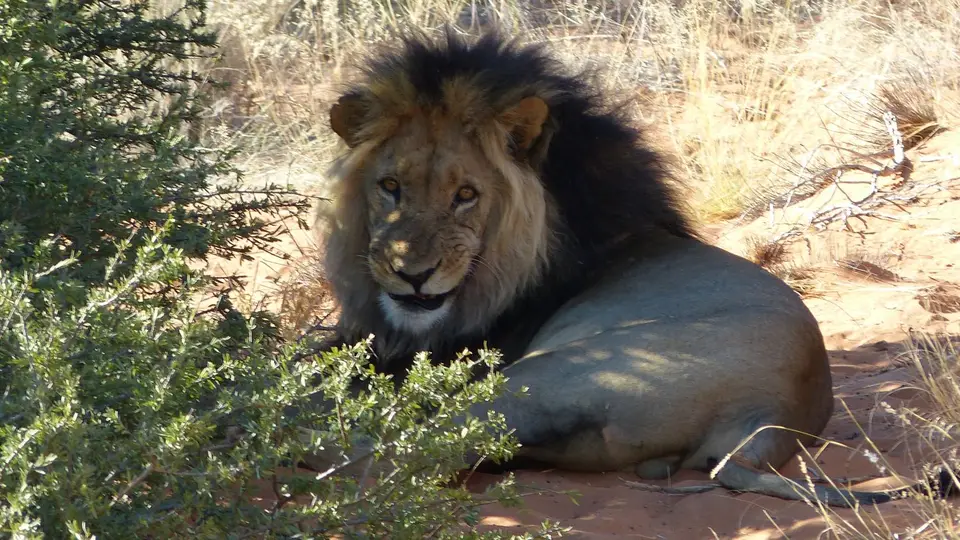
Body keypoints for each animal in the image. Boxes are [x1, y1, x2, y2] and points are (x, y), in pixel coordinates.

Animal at [310, 29, 905, 508]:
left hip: (538, 378)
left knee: (404, 451)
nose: (412, 274)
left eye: (466, 195)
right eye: (390, 186)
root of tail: (771, 416)